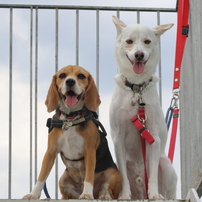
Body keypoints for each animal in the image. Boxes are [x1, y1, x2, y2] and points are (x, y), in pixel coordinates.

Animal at [22, 65, 122, 200]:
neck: (70, 118)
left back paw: (103, 196)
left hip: (113, 174)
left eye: (81, 76)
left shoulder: (89, 151)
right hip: (63, 179)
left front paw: (87, 194)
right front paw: (33, 194)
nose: (70, 81)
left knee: (107, 190)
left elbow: (89, 176)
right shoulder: (50, 151)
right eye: (62, 75)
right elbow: (41, 176)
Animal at [109, 15, 178, 199]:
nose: (139, 55)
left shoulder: (152, 136)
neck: (136, 88)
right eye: (129, 41)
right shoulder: (118, 138)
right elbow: (124, 178)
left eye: (147, 41)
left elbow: (152, 175)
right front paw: (124, 196)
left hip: (166, 165)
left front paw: (154, 195)